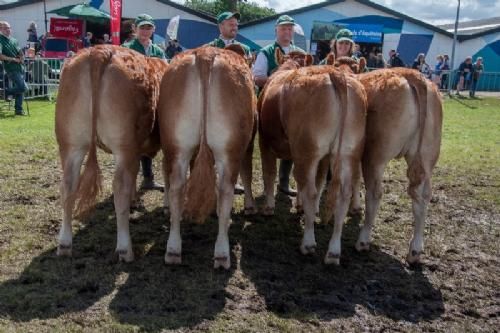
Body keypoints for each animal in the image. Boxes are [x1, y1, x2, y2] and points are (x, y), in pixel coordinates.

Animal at [54, 44, 168, 262]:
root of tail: (99, 51)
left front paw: (135, 200)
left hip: (70, 143)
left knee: (68, 186)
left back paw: (64, 244)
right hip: (124, 144)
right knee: (119, 187)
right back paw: (125, 249)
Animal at [158, 46, 256, 268]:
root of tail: (205, 53)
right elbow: (246, 174)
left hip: (176, 145)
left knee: (177, 187)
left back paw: (173, 250)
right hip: (230, 150)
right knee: (226, 190)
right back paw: (222, 253)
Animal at [258, 63, 368, 264]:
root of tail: (334, 73)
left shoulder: (264, 141)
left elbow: (269, 173)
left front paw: (269, 207)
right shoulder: (320, 158)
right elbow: (313, 179)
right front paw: (300, 206)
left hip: (307, 150)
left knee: (311, 190)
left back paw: (308, 243)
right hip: (349, 152)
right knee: (342, 195)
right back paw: (333, 252)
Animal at [354, 67, 444, 264]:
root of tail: (412, 74)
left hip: (375, 155)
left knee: (375, 193)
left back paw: (363, 240)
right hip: (427, 156)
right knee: (423, 196)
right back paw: (415, 250)